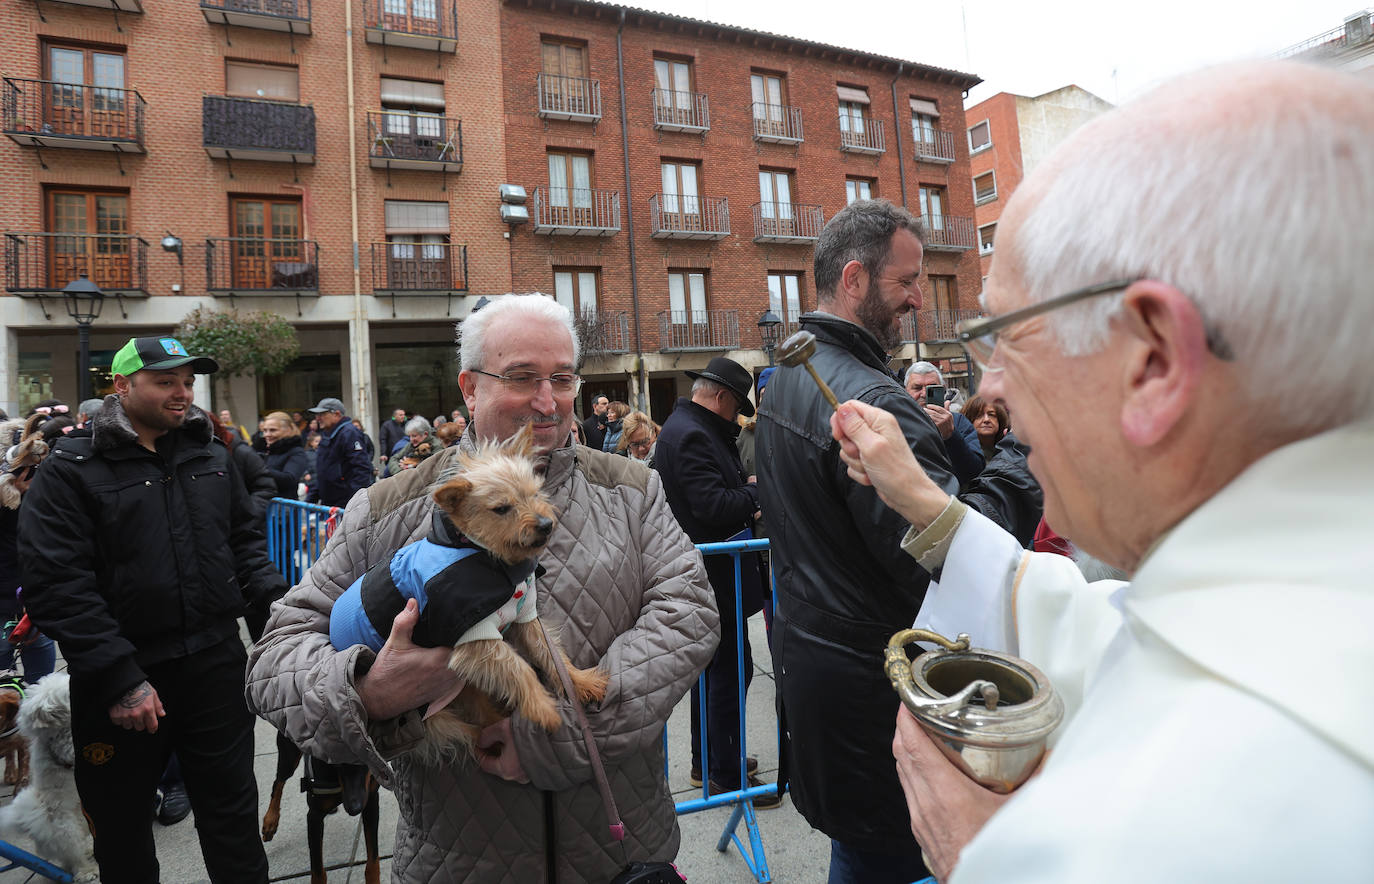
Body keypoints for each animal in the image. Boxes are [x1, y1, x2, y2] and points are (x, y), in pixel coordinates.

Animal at [0, 673, 98, 879]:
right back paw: (86, 871)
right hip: (66, 831)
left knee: (69, 858)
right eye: (68, 693)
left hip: (82, 823)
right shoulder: (69, 748)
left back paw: (88, 852)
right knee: (74, 857)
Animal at [327, 426, 607, 758]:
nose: (545, 524)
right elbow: (519, 667)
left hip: (463, 687)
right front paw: (542, 707)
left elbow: (550, 653)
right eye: (502, 508)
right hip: (435, 711)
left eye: (535, 493)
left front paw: (580, 682)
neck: (485, 555)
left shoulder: (525, 618)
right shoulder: (475, 636)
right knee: (465, 731)